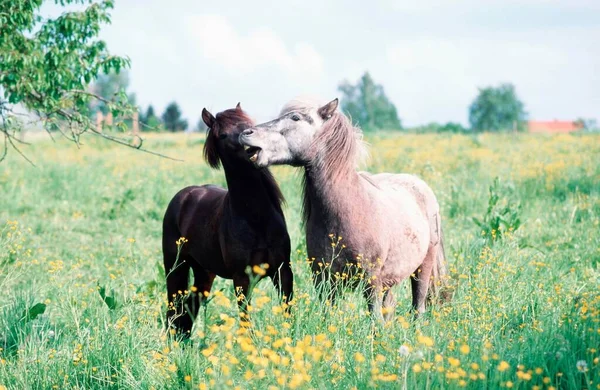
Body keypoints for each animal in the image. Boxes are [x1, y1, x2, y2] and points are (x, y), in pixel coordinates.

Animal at [162, 104, 292, 338]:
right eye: (222, 134)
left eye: (248, 124)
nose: (250, 143)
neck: (256, 220)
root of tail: (183, 196)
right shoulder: (242, 278)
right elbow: (245, 320)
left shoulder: (283, 272)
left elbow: (287, 311)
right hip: (175, 268)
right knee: (173, 309)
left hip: (204, 273)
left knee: (189, 307)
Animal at [237, 97, 448, 320]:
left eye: (295, 117)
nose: (246, 133)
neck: (346, 211)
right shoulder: (324, 279)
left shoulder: (371, 280)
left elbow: (375, 318)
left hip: (422, 269)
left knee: (418, 306)